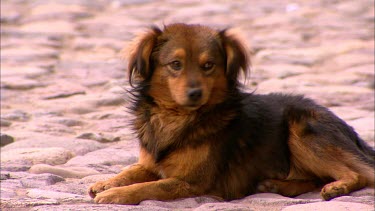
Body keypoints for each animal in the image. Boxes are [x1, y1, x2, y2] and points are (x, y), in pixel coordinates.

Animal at [89, 22, 375, 204]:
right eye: (175, 64)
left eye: (208, 65)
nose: (195, 93)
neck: (176, 117)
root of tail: (350, 130)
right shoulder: (151, 163)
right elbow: (131, 171)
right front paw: (106, 183)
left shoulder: (192, 182)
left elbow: (149, 186)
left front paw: (114, 195)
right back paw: (276, 185)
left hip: (302, 129)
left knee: (358, 174)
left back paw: (337, 186)